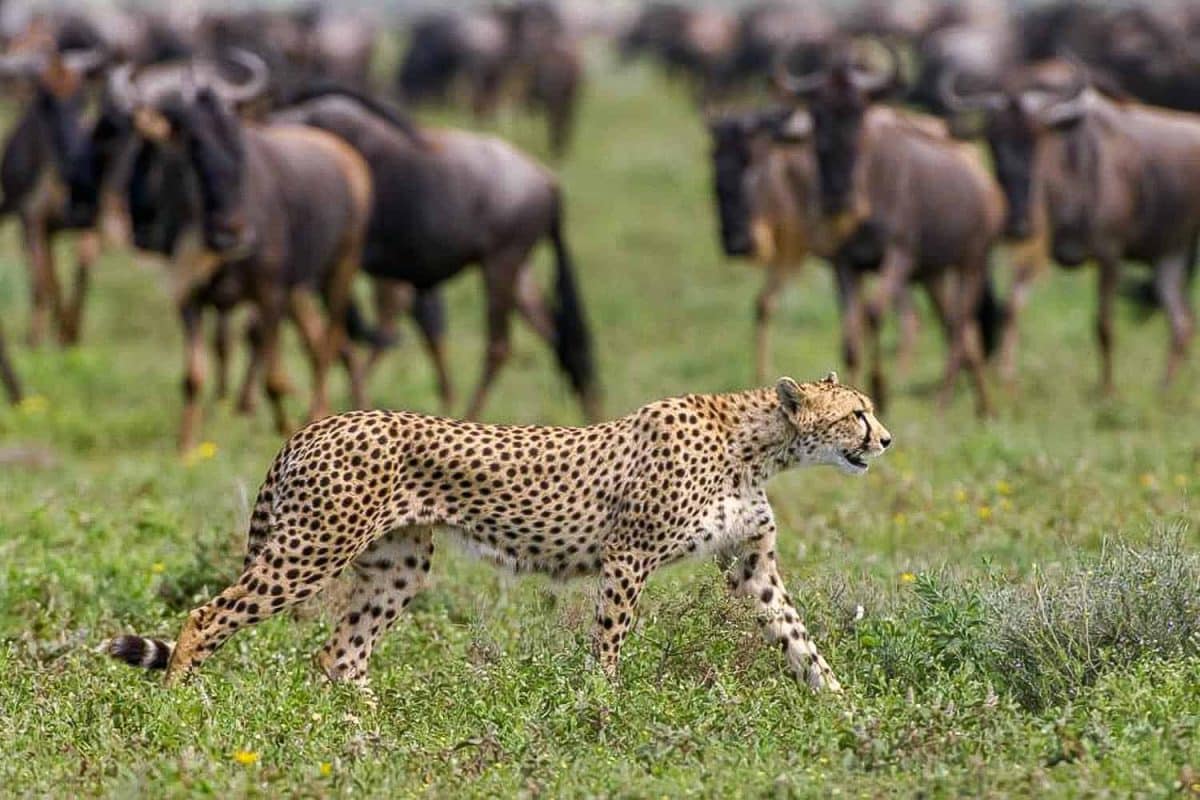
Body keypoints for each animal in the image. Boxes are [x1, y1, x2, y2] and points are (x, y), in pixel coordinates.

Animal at [103, 372, 891, 692]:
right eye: (857, 412)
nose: (885, 439)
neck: (758, 444)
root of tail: (320, 422)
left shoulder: (750, 564)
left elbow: (801, 641)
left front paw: (845, 711)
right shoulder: (628, 557)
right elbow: (608, 646)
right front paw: (602, 711)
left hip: (398, 565)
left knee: (339, 655)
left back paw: (369, 736)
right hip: (312, 547)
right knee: (207, 615)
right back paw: (184, 706)